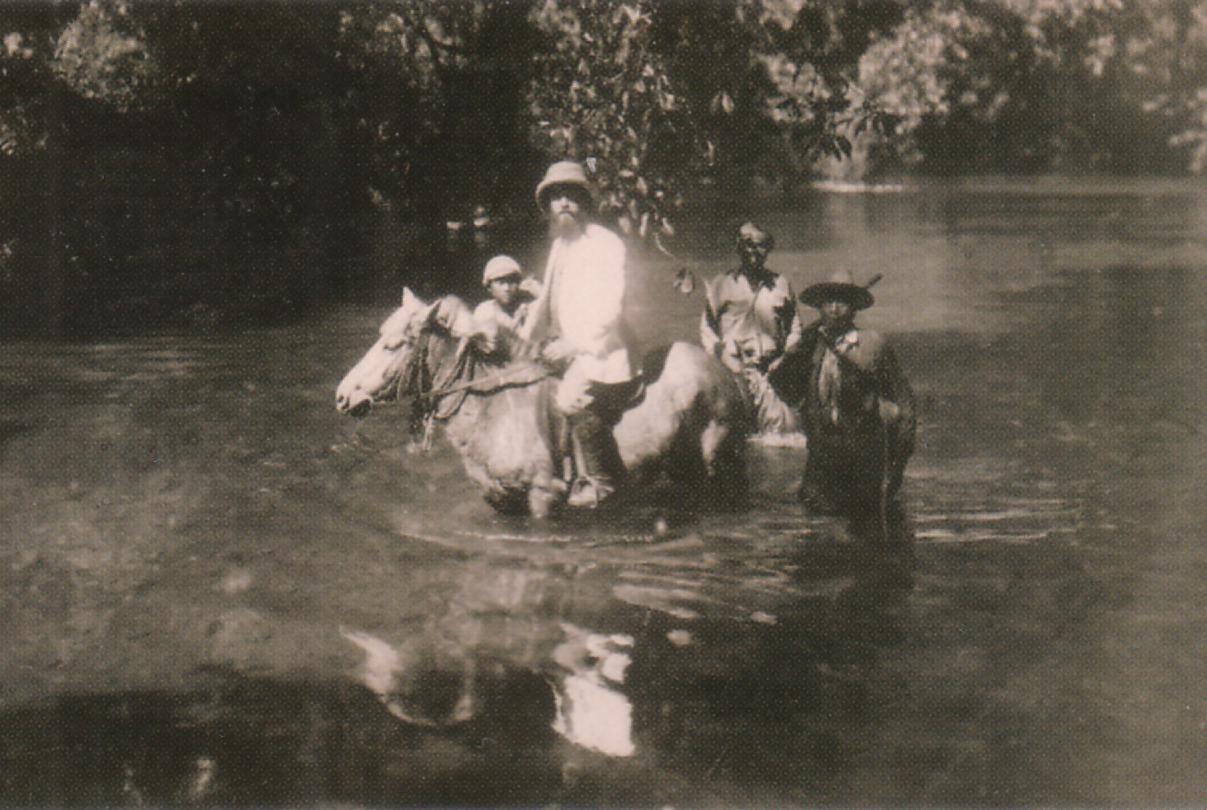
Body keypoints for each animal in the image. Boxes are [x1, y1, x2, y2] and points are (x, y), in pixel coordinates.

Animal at [330, 292, 743, 519]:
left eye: (393, 344)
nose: (342, 396)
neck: (498, 409)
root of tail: (720, 369)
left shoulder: (544, 496)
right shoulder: (501, 501)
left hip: (716, 461)